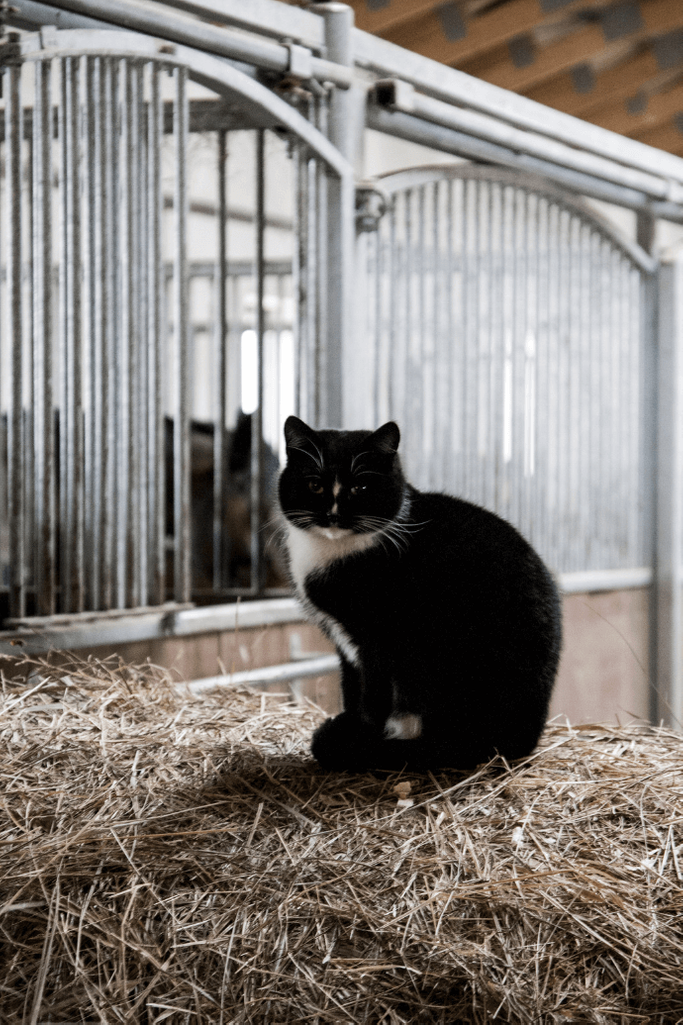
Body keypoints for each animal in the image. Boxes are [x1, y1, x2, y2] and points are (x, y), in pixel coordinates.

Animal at [276, 414, 557, 770]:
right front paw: (351, 726)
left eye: (360, 487)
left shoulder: (380, 638)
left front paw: (361, 739)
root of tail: (525, 738)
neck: (335, 550)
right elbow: (351, 686)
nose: (334, 514)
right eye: (314, 484)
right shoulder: (343, 640)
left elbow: (374, 695)